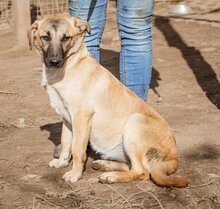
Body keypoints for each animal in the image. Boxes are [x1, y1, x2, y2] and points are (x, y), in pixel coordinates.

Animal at [27, 15, 189, 188]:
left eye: (66, 38)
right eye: (45, 37)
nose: (54, 61)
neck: (68, 68)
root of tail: (174, 157)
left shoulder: (81, 116)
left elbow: (77, 149)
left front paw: (75, 174)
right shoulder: (67, 118)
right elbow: (65, 142)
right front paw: (61, 162)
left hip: (134, 124)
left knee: (142, 172)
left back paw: (111, 176)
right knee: (130, 165)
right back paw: (105, 165)